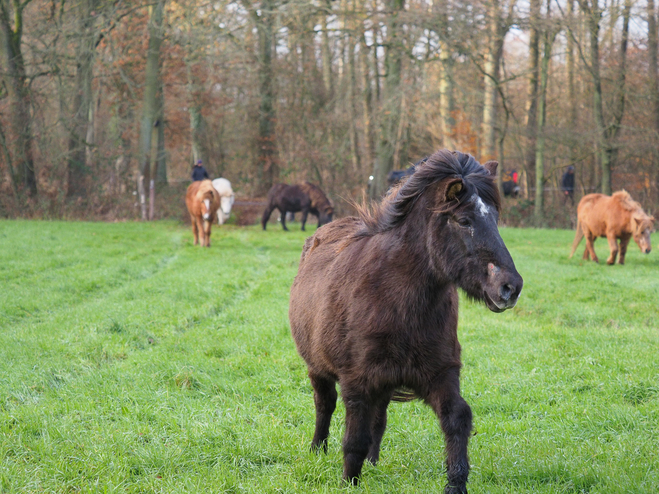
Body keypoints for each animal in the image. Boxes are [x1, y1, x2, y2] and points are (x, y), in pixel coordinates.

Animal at [292, 149, 524, 492]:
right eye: (464, 220)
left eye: (495, 219)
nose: (510, 287)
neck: (398, 303)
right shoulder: (356, 382)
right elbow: (353, 438)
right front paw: (349, 481)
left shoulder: (439, 373)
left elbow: (457, 417)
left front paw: (456, 483)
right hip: (318, 368)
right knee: (325, 405)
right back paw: (317, 449)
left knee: (378, 419)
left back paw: (373, 463)